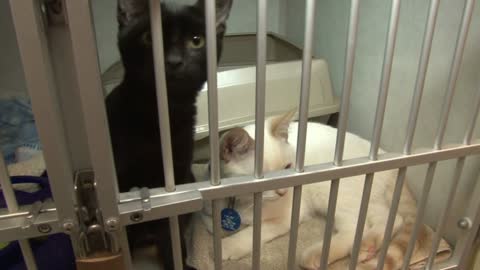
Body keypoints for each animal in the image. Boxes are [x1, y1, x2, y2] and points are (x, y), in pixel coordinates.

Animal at [106, 1, 232, 268]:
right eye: (148, 38)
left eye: (196, 41)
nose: (173, 61)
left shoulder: (177, 180)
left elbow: (170, 237)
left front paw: (178, 262)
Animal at [202, 110, 420, 268]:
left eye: (288, 167)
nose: (283, 191)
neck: (244, 200)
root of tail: (385, 155)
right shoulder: (208, 210)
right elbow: (211, 224)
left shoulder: (288, 215)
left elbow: (253, 232)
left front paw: (227, 246)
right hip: (367, 196)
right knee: (391, 217)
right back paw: (368, 245)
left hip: (332, 191)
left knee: (355, 226)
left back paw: (318, 255)